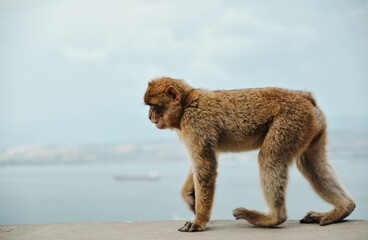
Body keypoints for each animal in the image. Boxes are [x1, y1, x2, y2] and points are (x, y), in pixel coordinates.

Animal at [143, 77, 354, 232]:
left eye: (153, 106)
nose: (150, 117)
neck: (186, 104)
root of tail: (306, 97)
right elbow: (198, 162)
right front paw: (189, 194)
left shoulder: (195, 122)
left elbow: (205, 164)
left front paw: (199, 221)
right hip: (311, 126)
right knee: (312, 164)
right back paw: (344, 208)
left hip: (292, 120)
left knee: (269, 158)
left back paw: (272, 218)